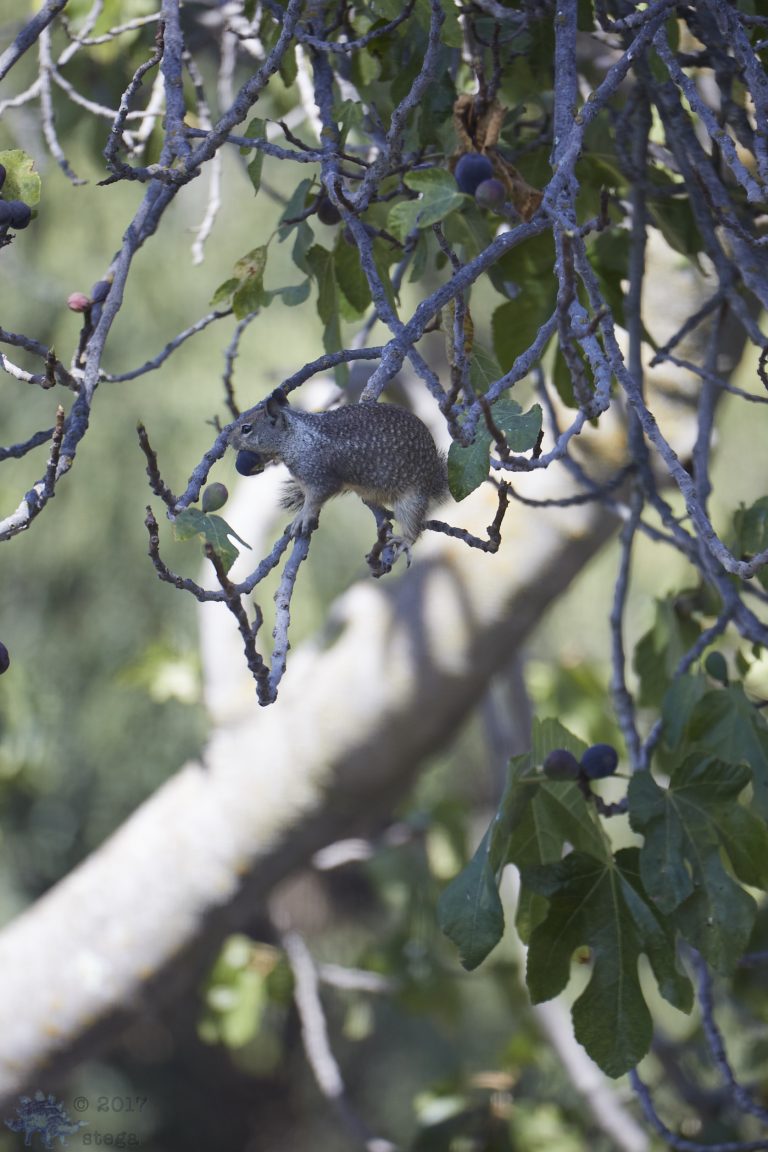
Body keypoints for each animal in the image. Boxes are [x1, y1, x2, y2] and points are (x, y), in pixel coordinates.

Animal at [228, 390, 448, 560]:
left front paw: (303, 516)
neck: (296, 438)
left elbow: (315, 498)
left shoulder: (319, 476)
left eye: (246, 429)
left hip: (412, 498)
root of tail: (434, 478)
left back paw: (404, 540)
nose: (230, 440)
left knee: (413, 524)